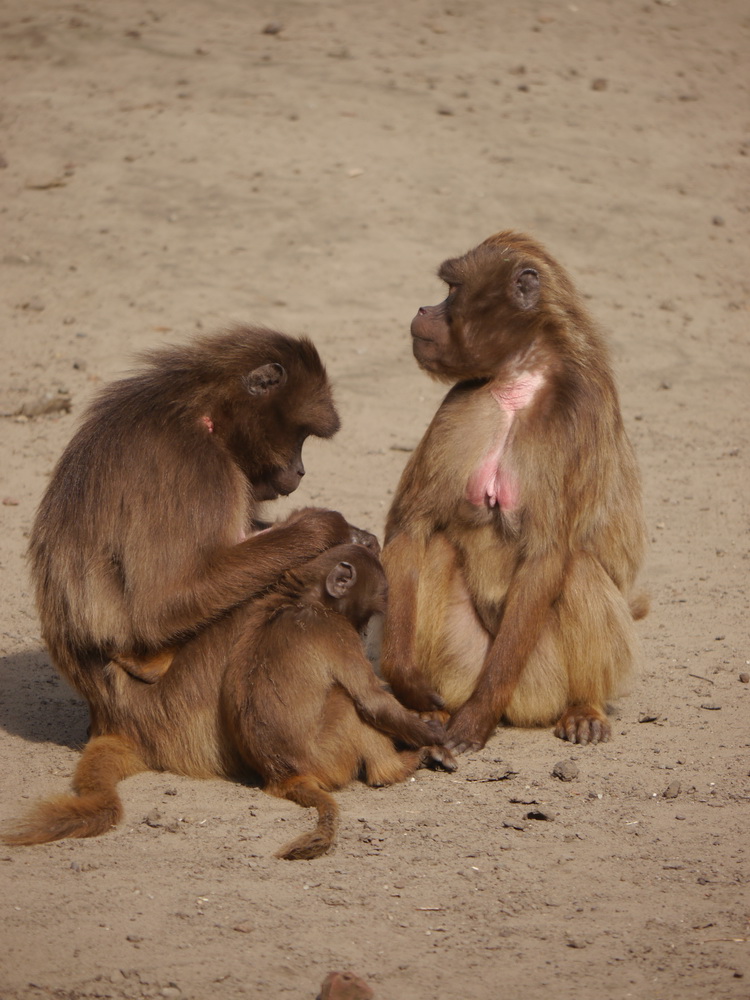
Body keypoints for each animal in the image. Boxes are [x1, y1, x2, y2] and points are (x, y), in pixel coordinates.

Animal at [221, 543, 456, 860]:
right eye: (368, 613)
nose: (363, 631)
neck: (306, 598)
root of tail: (283, 775)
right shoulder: (336, 630)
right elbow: (373, 701)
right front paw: (437, 735)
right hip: (328, 758)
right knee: (346, 702)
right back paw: (395, 767)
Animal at [379, 231, 647, 753]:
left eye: (452, 289)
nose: (423, 309)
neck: (520, 382)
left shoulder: (575, 419)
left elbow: (547, 557)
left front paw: (475, 719)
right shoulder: (463, 403)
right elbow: (410, 528)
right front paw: (406, 683)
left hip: (534, 680)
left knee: (576, 567)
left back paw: (584, 706)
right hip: (463, 666)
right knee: (436, 547)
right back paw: (430, 710)